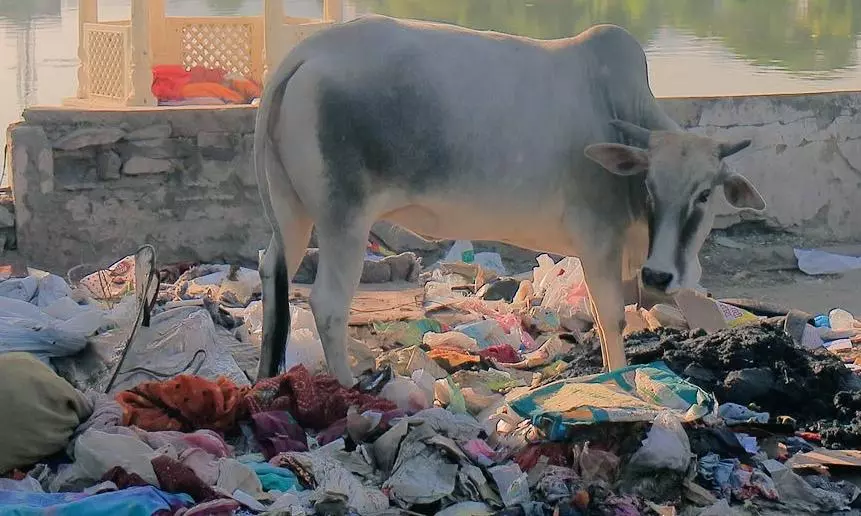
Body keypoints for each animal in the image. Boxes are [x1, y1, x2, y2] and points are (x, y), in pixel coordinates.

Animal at [253, 15, 766, 386]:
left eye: (704, 194)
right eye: (650, 188)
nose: (660, 275)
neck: (616, 107)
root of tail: (303, 54)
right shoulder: (598, 240)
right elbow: (611, 319)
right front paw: (618, 383)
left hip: (292, 210)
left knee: (271, 270)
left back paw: (266, 377)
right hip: (344, 218)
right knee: (327, 304)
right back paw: (349, 386)